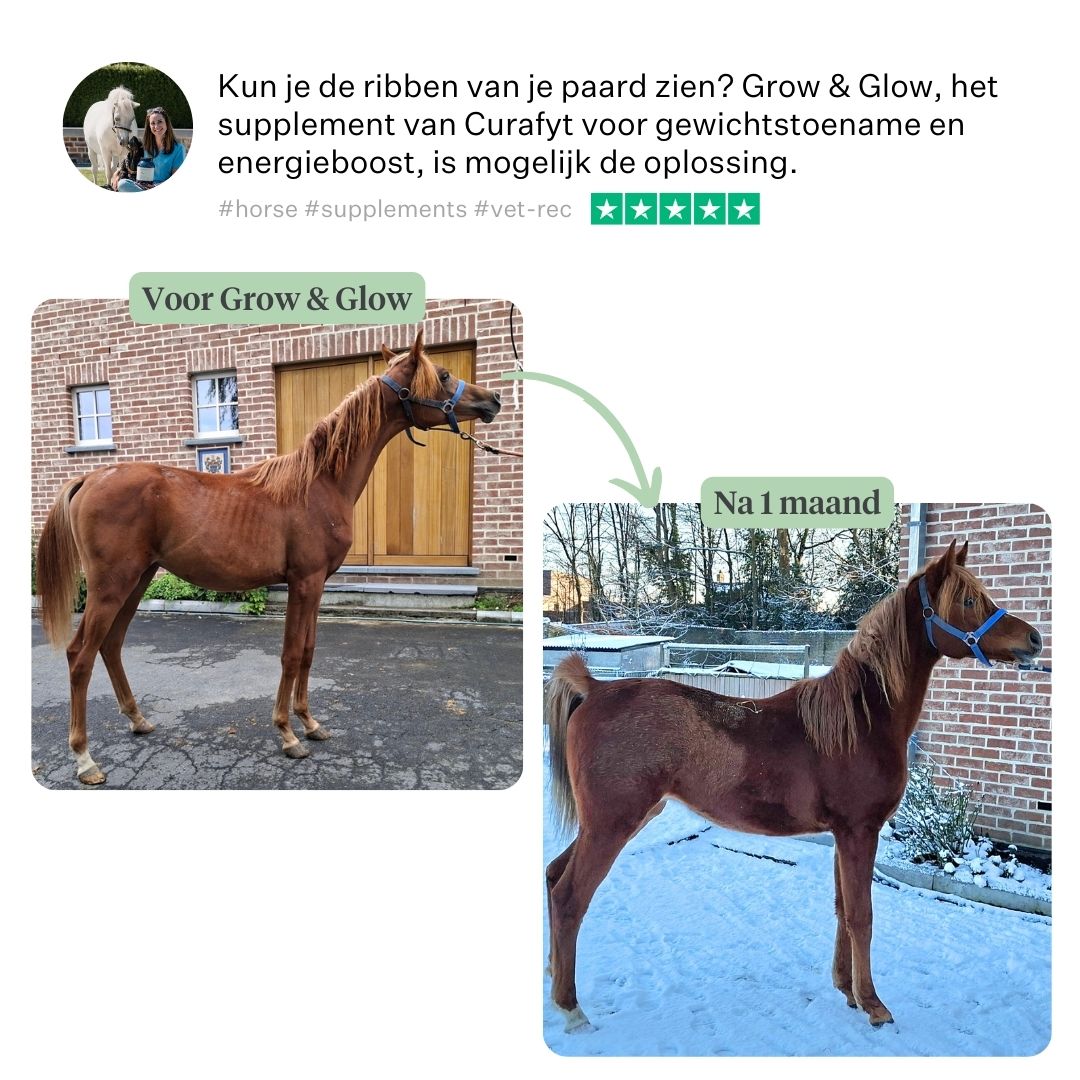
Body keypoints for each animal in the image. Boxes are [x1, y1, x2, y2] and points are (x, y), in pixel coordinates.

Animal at [36, 330, 501, 786]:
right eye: (443, 374)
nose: (493, 399)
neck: (319, 483)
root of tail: (90, 476)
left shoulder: (317, 585)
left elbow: (309, 651)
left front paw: (310, 723)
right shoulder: (304, 581)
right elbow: (292, 653)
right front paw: (288, 734)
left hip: (138, 579)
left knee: (111, 645)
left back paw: (137, 720)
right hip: (111, 585)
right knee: (80, 655)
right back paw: (85, 759)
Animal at [545, 540, 1043, 1032]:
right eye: (968, 601)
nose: (1034, 640)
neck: (860, 722)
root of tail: (595, 689)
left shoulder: (845, 835)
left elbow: (843, 909)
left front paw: (847, 990)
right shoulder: (860, 832)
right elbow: (862, 916)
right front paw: (874, 1004)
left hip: (612, 822)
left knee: (552, 877)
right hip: (612, 825)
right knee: (569, 898)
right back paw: (572, 1010)